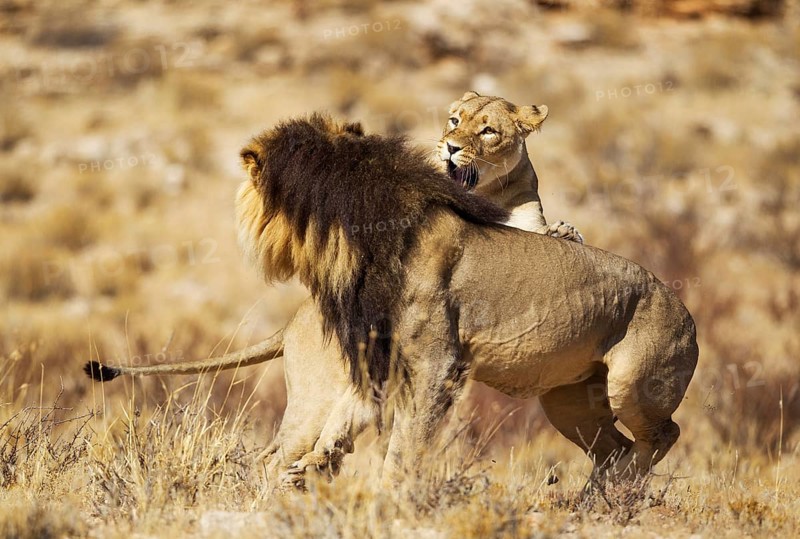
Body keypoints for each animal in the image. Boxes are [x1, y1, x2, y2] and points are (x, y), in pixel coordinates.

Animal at [92, 113, 696, 487]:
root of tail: (687, 311)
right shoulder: (379, 361)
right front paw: (328, 469)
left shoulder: (436, 364)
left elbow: (405, 446)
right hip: (568, 400)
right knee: (616, 449)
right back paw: (596, 501)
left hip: (629, 383)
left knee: (662, 434)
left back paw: (621, 495)